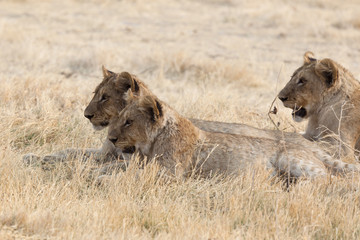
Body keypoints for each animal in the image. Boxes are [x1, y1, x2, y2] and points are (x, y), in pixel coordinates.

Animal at [107, 90, 360, 182]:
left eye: (128, 122)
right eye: (120, 118)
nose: (111, 139)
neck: (151, 144)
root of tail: (311, 148)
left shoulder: (169, 173)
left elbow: (129, 177)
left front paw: (104, 181)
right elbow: (119, 168)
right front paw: (102, 172)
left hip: (292, 159)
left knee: (329, 179)